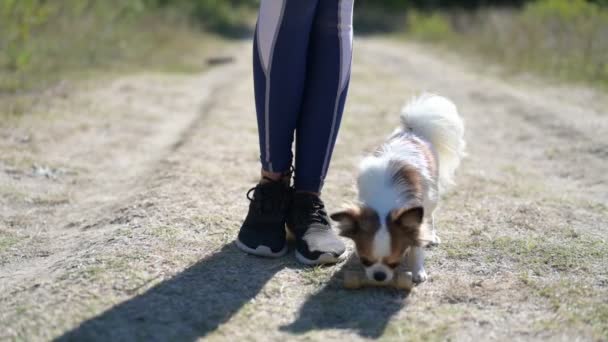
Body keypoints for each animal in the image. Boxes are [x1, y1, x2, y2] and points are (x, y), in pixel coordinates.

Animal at [328, 93, 466, 284]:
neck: (385, 202)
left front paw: (418, 271)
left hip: (432, 196)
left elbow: (417, 246)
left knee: (430, 216)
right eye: (365, 261)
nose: (379, 276)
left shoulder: (416, 218)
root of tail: (412, 131)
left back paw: (432, 236)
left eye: (395, 263)